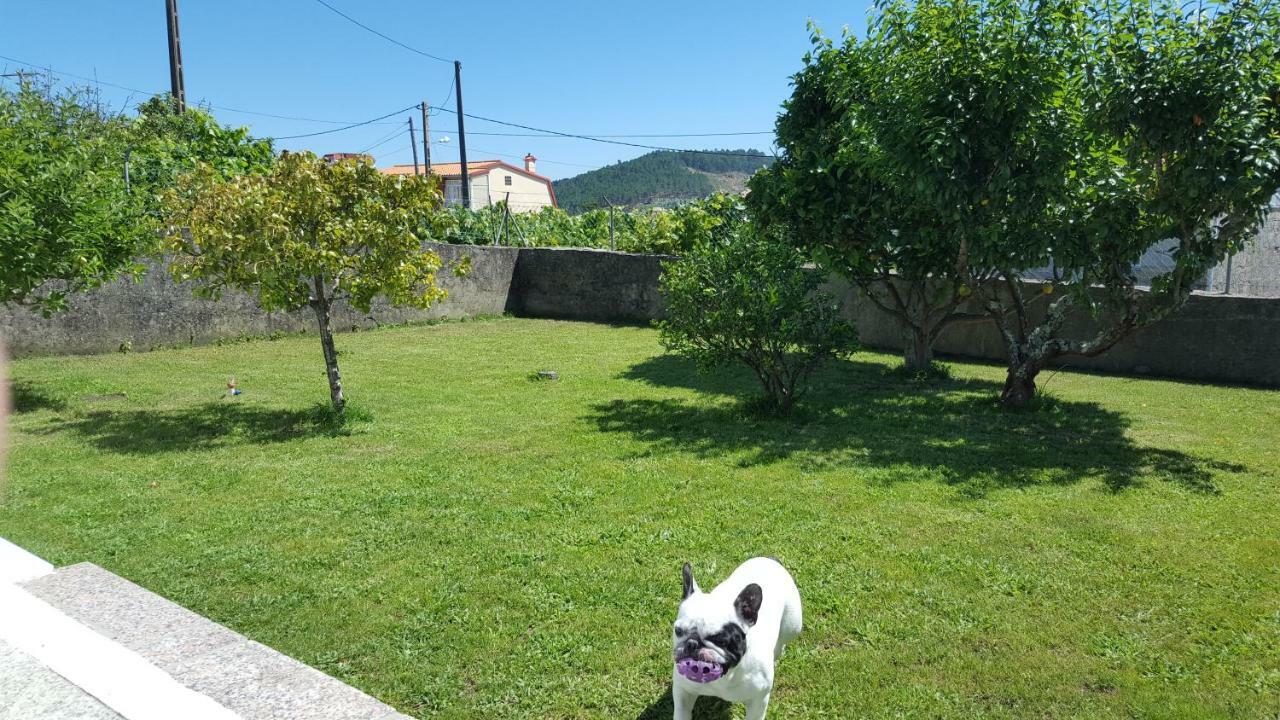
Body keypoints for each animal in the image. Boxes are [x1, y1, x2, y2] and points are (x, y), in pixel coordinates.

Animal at [670, 556, 798, 717]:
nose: (692, 643)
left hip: (793, 628)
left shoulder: (758, 701)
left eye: (720, 640)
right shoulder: (683, 691)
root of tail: (770, 559)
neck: (726, 676)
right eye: (678, 631)